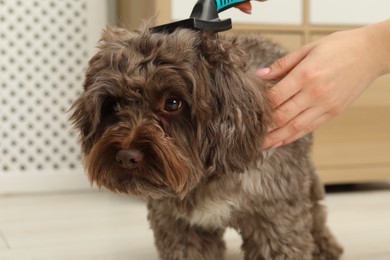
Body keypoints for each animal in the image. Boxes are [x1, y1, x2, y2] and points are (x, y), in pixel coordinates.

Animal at [70, 23, 342, 258]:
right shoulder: (180, 227)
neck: (206, 175)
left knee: (315, 209)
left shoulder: (275, 221)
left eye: (172, 103)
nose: (126, 156)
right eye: (114, 105)